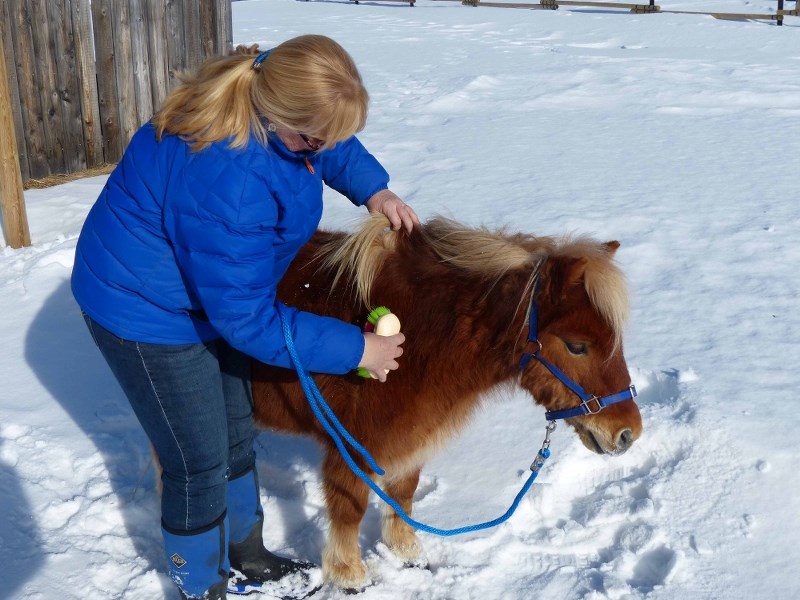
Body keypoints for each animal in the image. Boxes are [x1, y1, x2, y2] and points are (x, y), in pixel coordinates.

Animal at [253, 214, 640, 584]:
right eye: (577, 346)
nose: (628, 433)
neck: (420, 337)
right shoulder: (351, 444)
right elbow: (350, 507)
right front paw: (349, 574)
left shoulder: (411, 435)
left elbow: (404, 491)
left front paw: (407, 553)